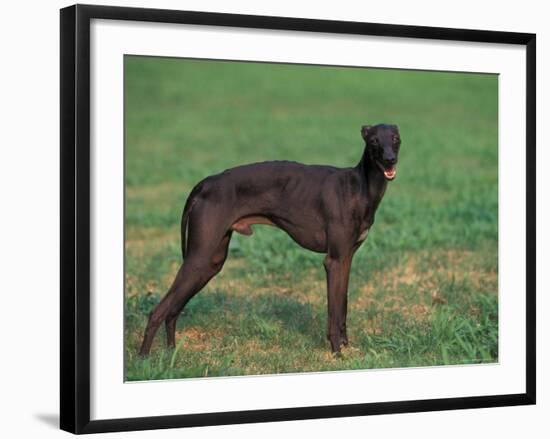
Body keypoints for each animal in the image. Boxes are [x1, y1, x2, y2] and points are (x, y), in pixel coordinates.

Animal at [140, 124, 404, 358]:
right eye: (374, 141)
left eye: (395, 138)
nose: (390, 160)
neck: (359, 188)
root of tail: (205, 183)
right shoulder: (334, 261)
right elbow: (334, 310)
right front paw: (337, 351)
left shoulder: (346, 259)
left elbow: (343, 306)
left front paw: (346, 346)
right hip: (198, 258)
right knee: (157, 311)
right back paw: (143, 359)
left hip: (210, 262)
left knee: (173, 310)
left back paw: (171, 352)